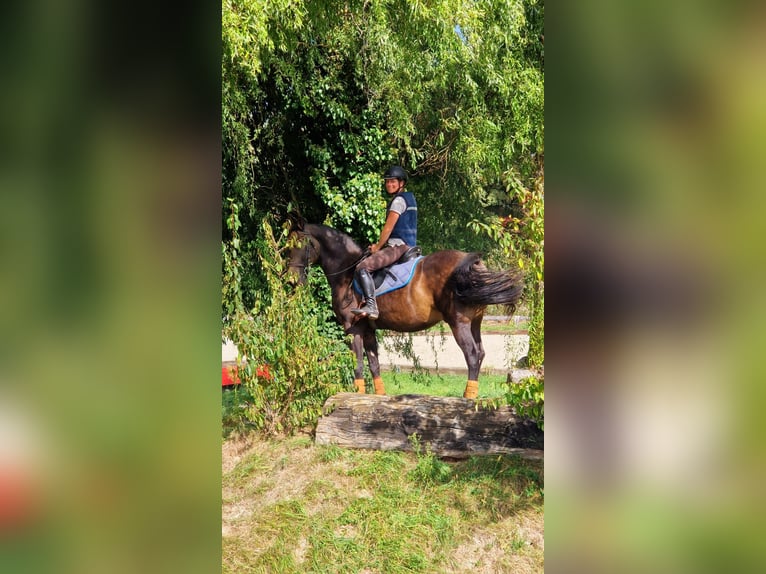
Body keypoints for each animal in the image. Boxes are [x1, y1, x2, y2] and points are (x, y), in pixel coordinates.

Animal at [286, 218, 524, 398]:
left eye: (297, 245)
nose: (292, 281)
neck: (347, 272)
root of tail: (469, 262)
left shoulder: (352, 329)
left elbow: (358, 366)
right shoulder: (368, 330)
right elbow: (374, 365)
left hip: (459, 322)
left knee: (472, 355)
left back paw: (468, 398)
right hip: (475, 322)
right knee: (480, 353)